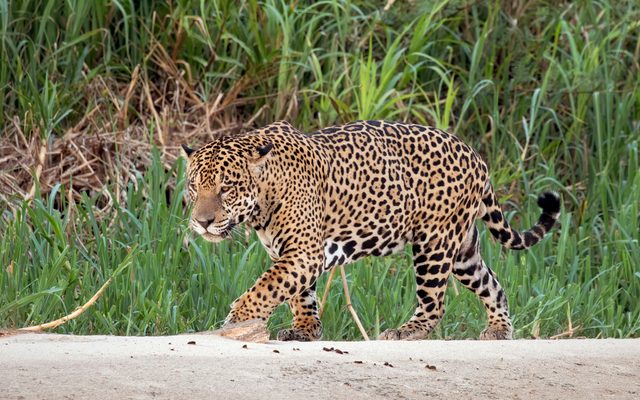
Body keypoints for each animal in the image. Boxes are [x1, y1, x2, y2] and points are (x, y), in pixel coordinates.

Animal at [182, 120, 560, 341]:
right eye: (194, 186)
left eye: (226, 189)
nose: (202, 222)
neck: (263, 198)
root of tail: (476, 156)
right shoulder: (290, 253)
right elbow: (297, 293)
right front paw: (305, 330)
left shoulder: (303, 253)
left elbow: (266, 287)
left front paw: (237, 319)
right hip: (463, 249)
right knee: (493, 285)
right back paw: (499, 330)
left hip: (434, 244)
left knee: (434, 303)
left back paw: (406, 331)